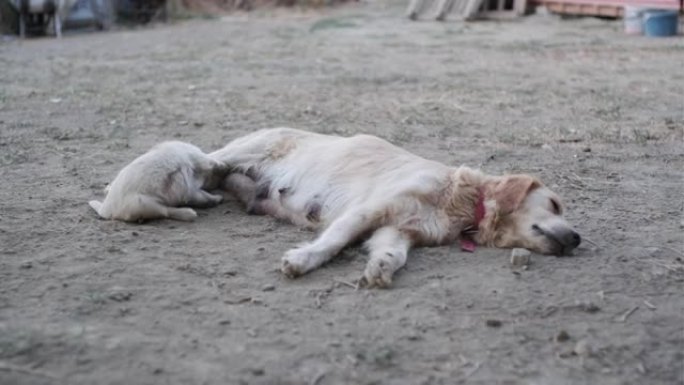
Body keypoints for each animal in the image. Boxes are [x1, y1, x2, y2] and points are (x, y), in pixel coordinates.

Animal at [87, 141, 227, 222]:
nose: (220, 181)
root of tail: (105, 209)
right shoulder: (195, 162)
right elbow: (209, 163)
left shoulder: (189, 189)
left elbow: (201, 195)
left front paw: (216, 198)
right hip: (145, 205)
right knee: (166, 211)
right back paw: (188, 213)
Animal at [210, 127, 584, 286]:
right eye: (554, 204)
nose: (578, 239)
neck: (461, 202)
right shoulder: (370, 208)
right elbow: (334, 240)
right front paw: (303, 259)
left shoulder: (400, 230)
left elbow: (394, 253)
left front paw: (382, 267)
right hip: (234, 153)